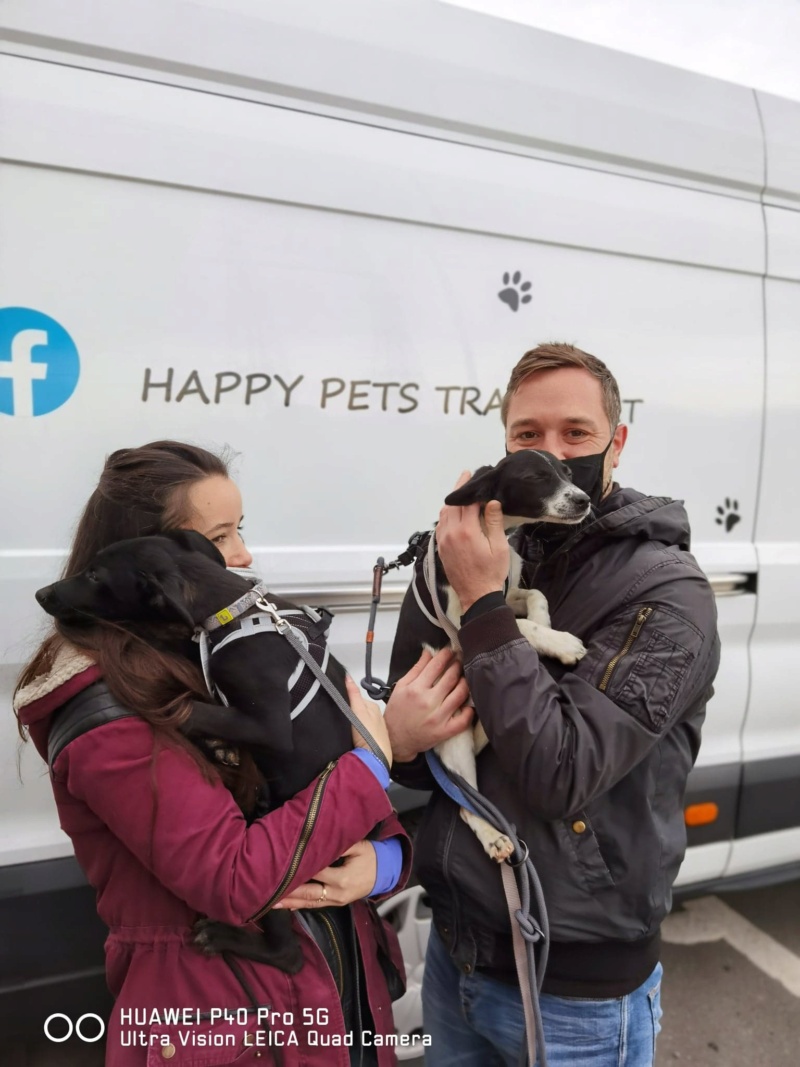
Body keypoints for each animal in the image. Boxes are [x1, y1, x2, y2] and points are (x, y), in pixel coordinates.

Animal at [34, 533, 354, 977]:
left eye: (96, 575)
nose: (41, 594)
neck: (230, 612)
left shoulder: (270, 727)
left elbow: (187, 708)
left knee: (288, 955)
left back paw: (225, 937)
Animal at [392, 448, 593, 857]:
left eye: (566, 472)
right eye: (535, 477)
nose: (584, 500)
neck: (493, 532)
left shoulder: (507, 591)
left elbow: (535, 596)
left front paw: (545, 622)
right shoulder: (461, 622)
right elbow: (519, 628)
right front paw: (561, 643)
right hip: (452, 743)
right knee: (466, 804)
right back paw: (494, 837)